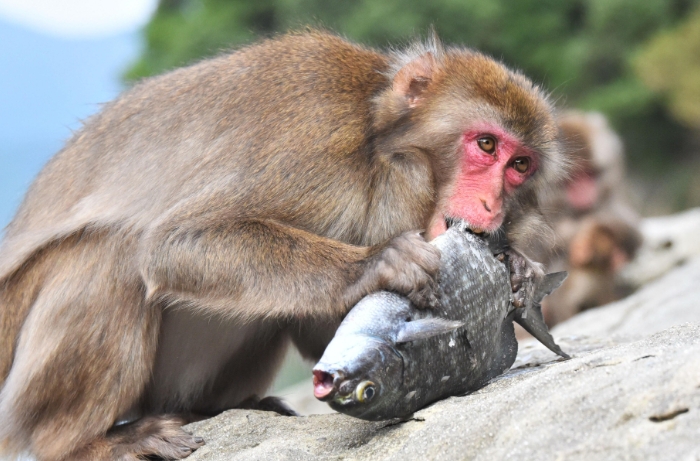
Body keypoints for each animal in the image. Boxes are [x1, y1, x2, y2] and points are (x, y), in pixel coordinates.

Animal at [0, 30, 568, 458]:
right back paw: (84, 443)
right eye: (487, 144)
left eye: (520, 166)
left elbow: (320, 331)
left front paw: (518, 266)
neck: (377, 151)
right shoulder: (314, 133)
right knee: (113, 252)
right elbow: (175, 242)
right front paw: (378, 263)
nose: (494, 205)